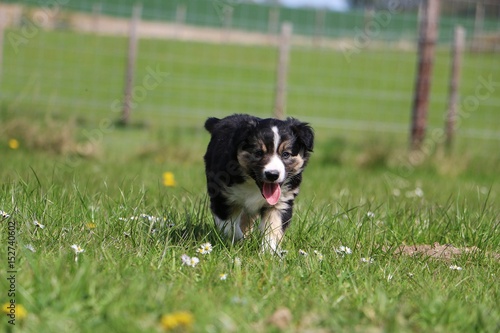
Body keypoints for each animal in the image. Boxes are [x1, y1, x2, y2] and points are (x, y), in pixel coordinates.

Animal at [203, 114, 312, 252]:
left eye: (286, 154)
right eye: (259, 153)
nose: (272, 174)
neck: (252, 184)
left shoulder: (281, 202)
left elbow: (273, 228)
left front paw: (268, 252)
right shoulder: (222, 196)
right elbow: (230, 226)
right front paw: (240, 243)